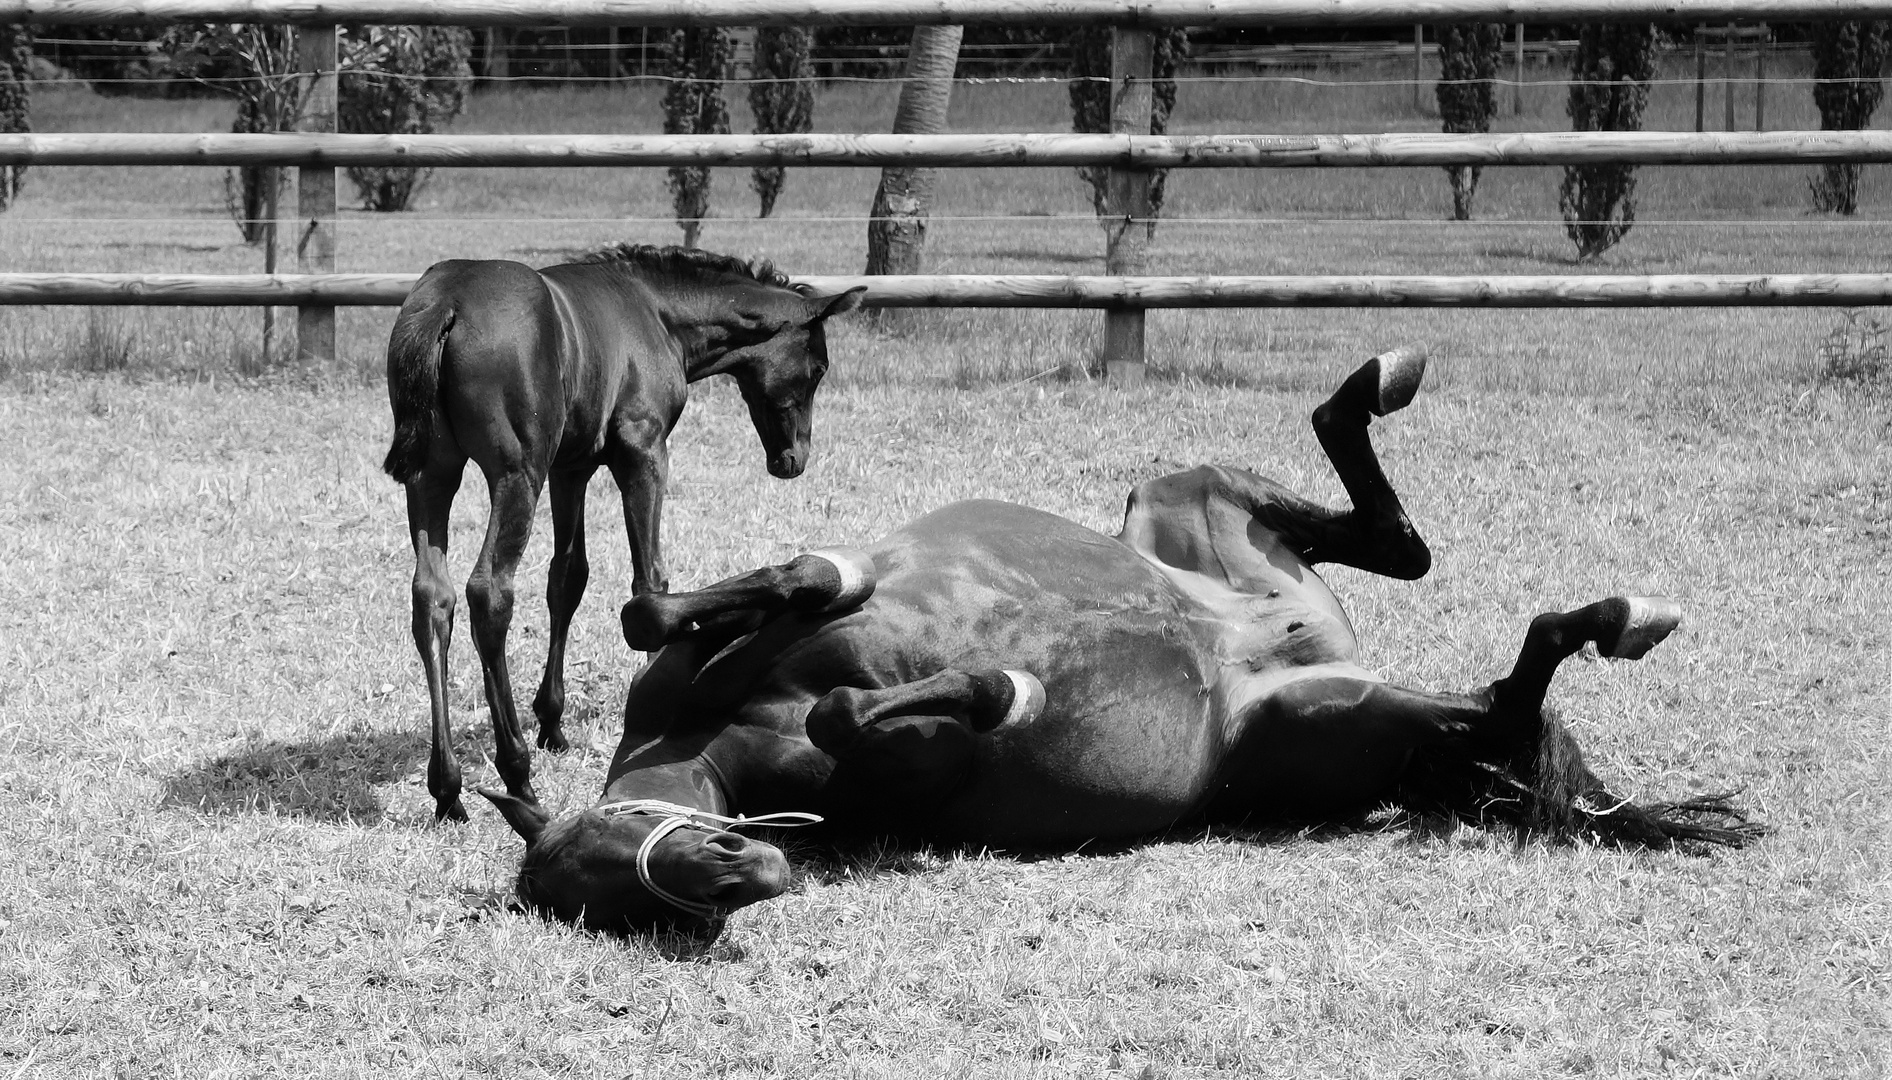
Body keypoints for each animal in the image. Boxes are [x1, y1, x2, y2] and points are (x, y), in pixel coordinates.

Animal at [385, 242, 870, 820]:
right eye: (818, 367)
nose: (792, 459)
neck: (656, 311)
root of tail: (447, 303)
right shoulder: (643, 452)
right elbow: (649, 578)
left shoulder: (570, 468)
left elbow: (567, 578)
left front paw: (553, 722)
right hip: (516, 473)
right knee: (489, 592)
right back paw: (517, 774)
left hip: (432, 475)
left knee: (432, 598)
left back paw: (448, 790)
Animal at [476, 349, 1755, 934]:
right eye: (615, 901)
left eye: (615, 844)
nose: (746, 874)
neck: (722, 729)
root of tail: (1287, 649)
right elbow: (860, 711)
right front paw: (1002, 689)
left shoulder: (703, 656)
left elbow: (681, 606)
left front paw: (838, 583)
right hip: (1329, 721)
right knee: (1499, 693)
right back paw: (1607, 622)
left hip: (1181, 500)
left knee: (1398, 547)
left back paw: (1379, 386)